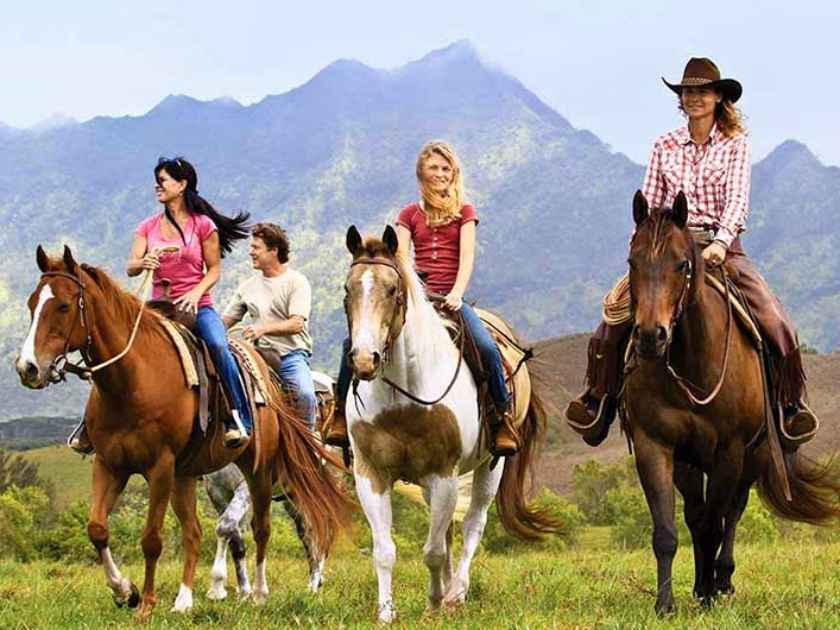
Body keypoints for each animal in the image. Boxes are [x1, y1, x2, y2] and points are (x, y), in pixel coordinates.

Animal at [16, 247, 352, 624]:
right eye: (32, 303)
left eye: (63, 305)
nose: (28, 368)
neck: (133, 381)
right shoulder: (110, 464)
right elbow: (98, 528)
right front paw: (125, 591)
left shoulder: (161, 468)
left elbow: (156, 538)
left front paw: (148, 603)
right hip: (190, 476)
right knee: (201, 532)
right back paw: (186, 600)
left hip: (262, 473)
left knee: (277, 527)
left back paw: (267, 592)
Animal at [624, 193, 840, 616]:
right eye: (632, 262)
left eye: (682, 264)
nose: (651, 337)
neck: (693, 365)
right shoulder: (654, 445)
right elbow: (668, 530)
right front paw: (666, 604)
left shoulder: (731, 450)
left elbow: (716, 522)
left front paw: (709, 595)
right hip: (690, 461)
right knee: (695, 514)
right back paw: (698, 583)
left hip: (755, 455)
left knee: (732, 513)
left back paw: (721, 580)